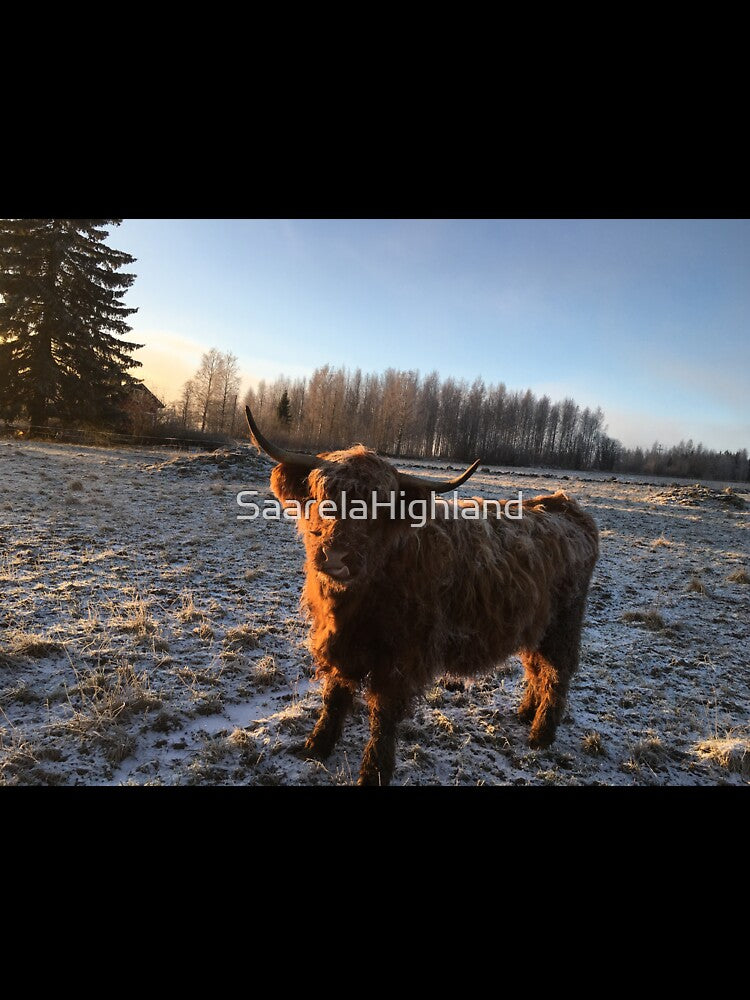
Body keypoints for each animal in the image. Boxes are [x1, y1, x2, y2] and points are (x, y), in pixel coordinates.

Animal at [244, 406, 599, 785]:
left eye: (380, 508)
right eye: (321, 496)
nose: (336, 556)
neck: (355, 601)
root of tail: (564, 505)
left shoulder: (401, 658)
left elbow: (383, 716)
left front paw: (374, 771)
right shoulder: (342, 643)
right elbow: (335, 697)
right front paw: (317, 745)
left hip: (564, 624)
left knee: (557, 672)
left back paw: (541, 735)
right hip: (534, 624)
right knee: (536, 666)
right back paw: (525, 712)